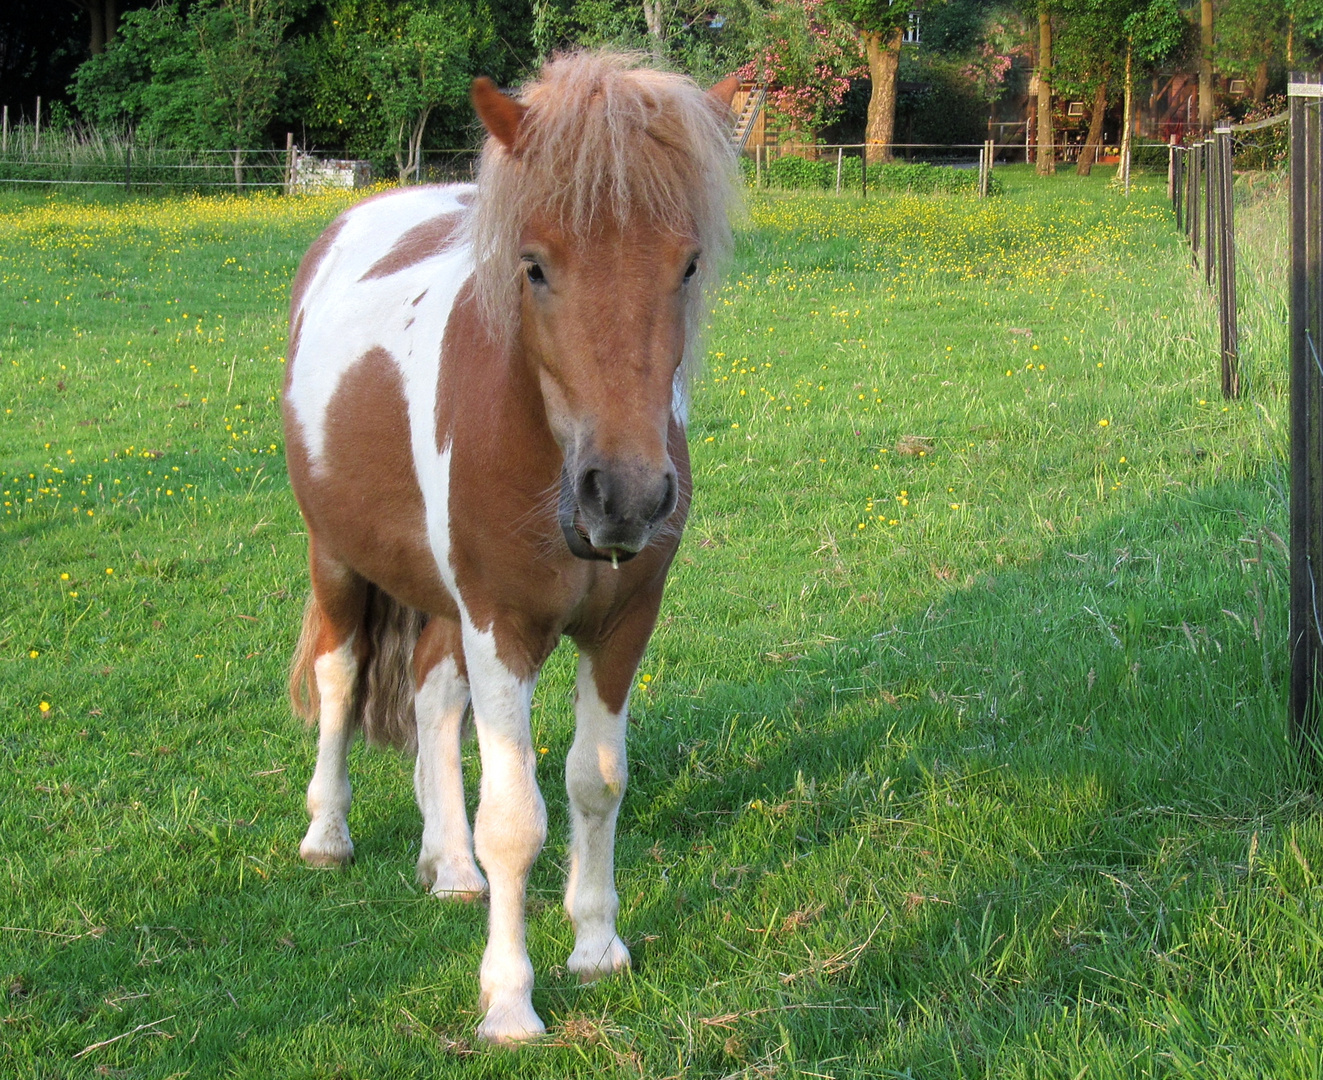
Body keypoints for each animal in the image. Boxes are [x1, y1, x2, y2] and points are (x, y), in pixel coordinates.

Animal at [283, 52, 740, 1048]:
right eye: (533, 266)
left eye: (687, 263)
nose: (627, 496)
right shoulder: (504, 626)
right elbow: (516, 819)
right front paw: (508, 1000)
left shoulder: (620, 626)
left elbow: (595, 783)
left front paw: (597, 946)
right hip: (338, 558)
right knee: (340, 676)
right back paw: (327, 836)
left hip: (445, 604)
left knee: (430, 699)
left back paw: (447, 863)